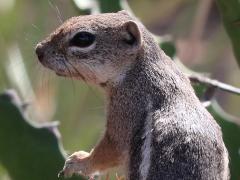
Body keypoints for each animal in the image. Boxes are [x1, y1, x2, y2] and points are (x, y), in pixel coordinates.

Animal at [35, 10, 229, 179]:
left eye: (83, 38)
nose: (38, 50)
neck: (138, 69)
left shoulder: (126, 109)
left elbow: (111, 148)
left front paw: (79, 162)